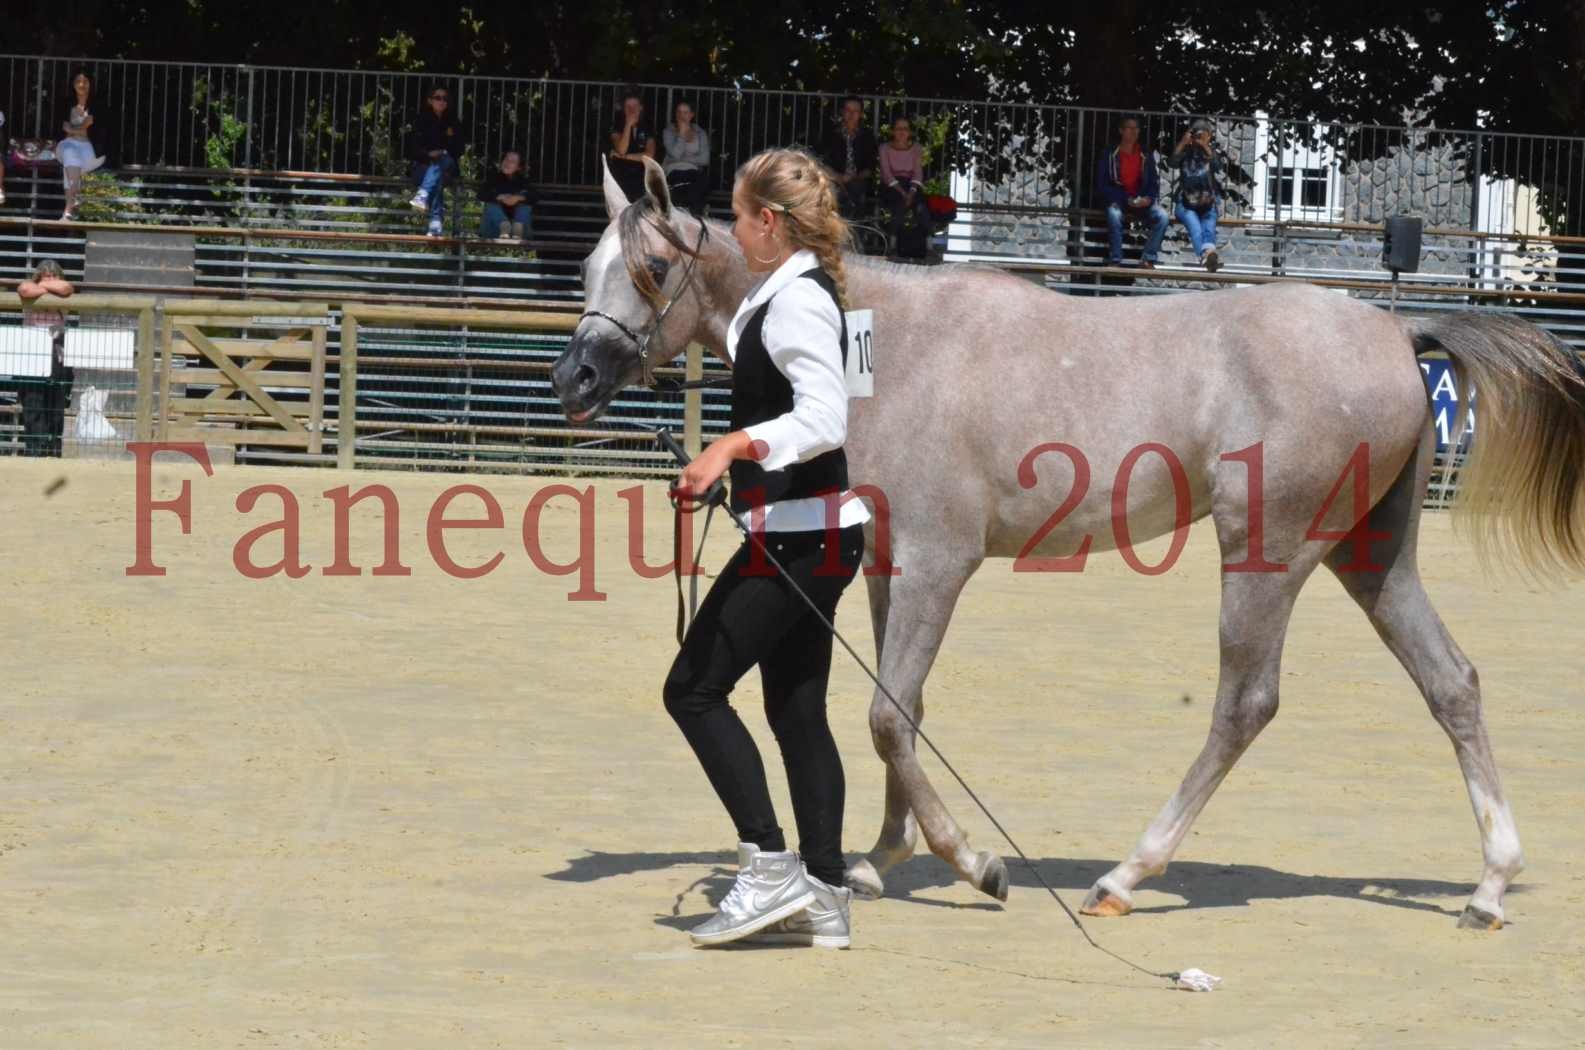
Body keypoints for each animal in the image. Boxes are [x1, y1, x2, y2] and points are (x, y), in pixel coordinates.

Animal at [548, 156, 1585, 932]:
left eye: (649, 269)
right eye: (588, 267)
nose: (573, 379)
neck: (872, 343)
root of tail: (1391, 327)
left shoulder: (938, 563)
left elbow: (888, 715)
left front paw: (975, 864)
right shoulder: (887, 566)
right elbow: (898, 707)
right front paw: (882, 857)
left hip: (1268, 553)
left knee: (1244, 705)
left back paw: (1125, 876)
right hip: (1370, 555)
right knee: (1451, 683)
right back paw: (1488, 886)